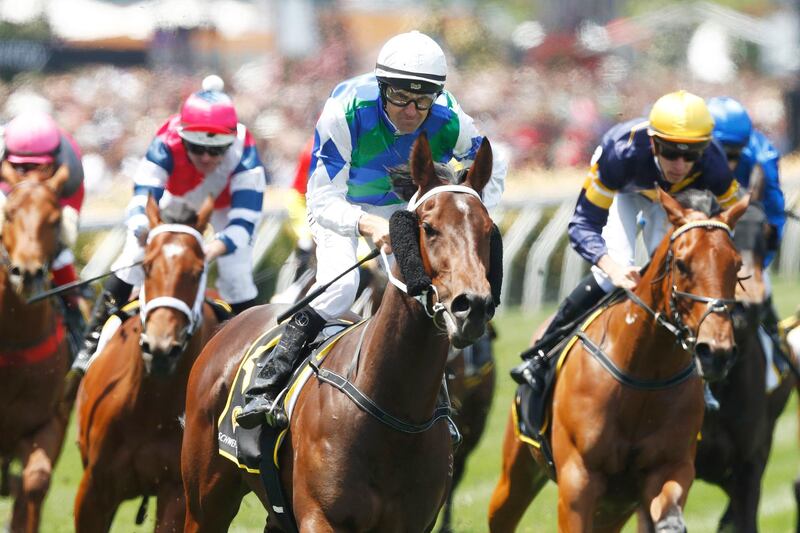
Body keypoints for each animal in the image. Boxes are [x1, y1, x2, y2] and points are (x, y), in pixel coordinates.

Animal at [74, 195, 222, 532]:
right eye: (147, 266)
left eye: (197, 271)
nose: (160, 349)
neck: (149, 406)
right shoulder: (93, 488)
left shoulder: (176, 494)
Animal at [182, 135, 500, 532]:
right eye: (428, 227)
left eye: (488, 229)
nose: (471, 306)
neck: (396, 410)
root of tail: (233, 322)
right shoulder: (321, 517)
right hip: (205, 498)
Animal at [488, 189, 752, 528]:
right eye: (681, 264)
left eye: (737, 265)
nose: (717, 352)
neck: (644, 374)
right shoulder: (578, 480)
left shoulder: (670, 469)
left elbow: (669, 515)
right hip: (517, 470)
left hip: (615, 508)